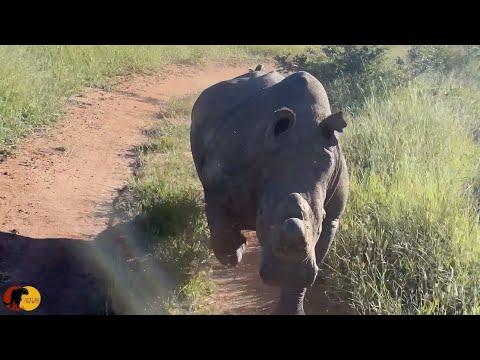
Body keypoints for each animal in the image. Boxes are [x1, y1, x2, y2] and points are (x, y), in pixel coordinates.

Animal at [189, 64, 350, 316]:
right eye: (262, 215)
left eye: (319, 222)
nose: (284, 272)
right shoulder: (216, 184)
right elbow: (219, 221)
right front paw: (235, 252)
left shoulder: (333, 214)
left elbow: (310, 265)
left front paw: (291, 306)